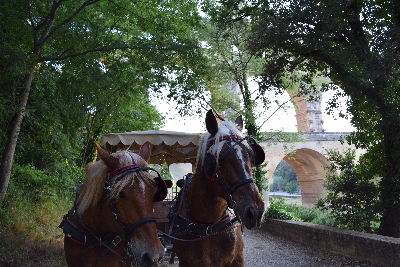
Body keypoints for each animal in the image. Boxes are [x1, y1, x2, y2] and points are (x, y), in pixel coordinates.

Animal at [169, 110, 266, 266]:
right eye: (218, 158)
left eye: (252, 156)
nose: (256, 211)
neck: (208, 225)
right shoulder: (185, 262)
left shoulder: (238, 259)